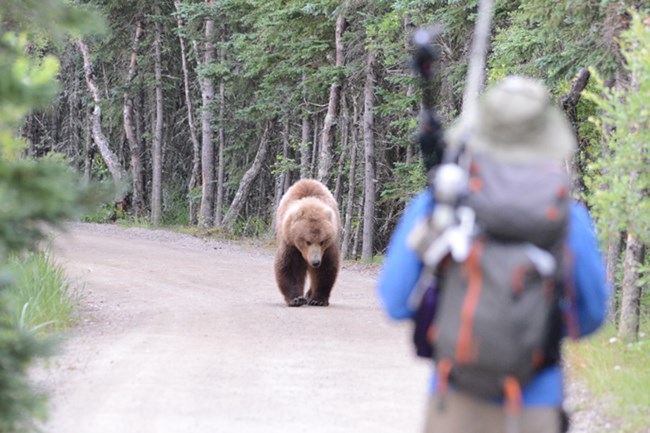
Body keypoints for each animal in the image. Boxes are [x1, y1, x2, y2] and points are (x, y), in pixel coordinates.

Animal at [274, 178, 341, 307]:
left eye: (322, 241)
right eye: (308, 241)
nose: (315, 262)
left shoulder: (327, 248)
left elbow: (325, 268)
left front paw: (318, 299)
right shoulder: (290, 243)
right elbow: (290, 266)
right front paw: (296, 299)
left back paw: (309, 295)